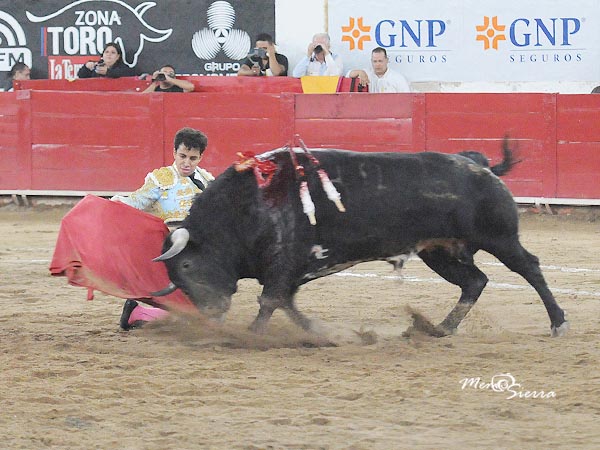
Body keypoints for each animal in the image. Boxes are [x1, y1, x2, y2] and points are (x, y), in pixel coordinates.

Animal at [152, 141, 568, 338]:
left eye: (187, 264)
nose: (211, 315)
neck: (249, 203)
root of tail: (479, 165)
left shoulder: (285, 262)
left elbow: (270, 300)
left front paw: (253, 335)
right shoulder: (291, 271)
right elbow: (285, 302)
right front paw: (317, 332)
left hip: (500, 237)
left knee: (530, 269)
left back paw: (558, 323)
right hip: (440, 252)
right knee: (475, 281)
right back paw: (440, 329)